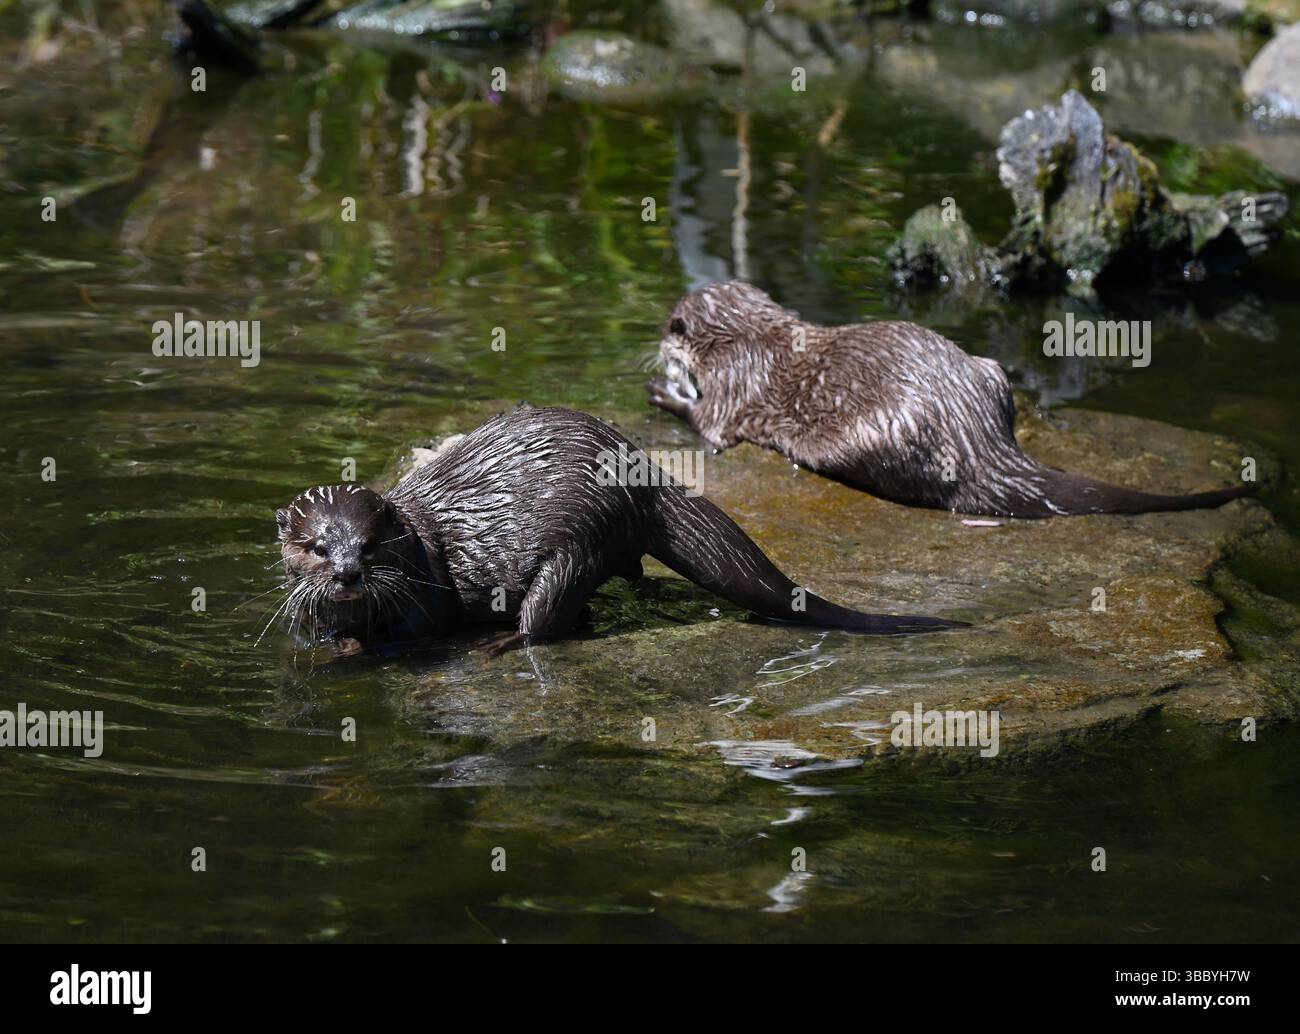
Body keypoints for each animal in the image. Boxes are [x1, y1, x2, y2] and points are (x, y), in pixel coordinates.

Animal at [272, 406, 965, 653]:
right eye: (315, 547)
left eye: (368, 546)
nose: (347, 573)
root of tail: (642, 475)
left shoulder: (421, 593)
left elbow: (415, 632)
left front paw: (359, 646)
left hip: (582, 538)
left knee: (547, 615)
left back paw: (501, 640)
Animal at [648, 281, 1249, 519]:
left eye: (669, 328)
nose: (658, 349)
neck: (745, 337)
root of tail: (983, 442)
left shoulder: (733, 383)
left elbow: (710, 425)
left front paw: (665, 391)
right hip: (992, 371)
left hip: (881, 429)